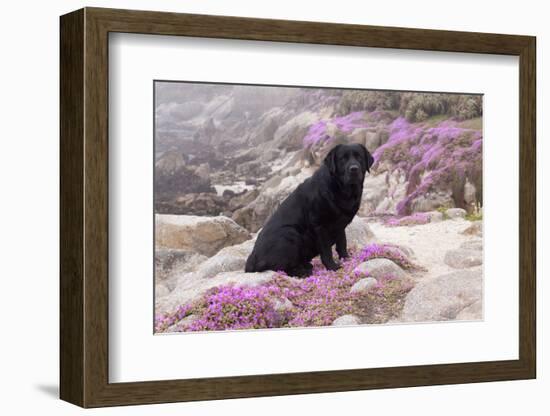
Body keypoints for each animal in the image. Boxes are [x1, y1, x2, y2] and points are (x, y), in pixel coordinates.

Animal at [246, 145, 376, 278]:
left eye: (359, 157)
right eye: (342, 159)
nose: (354, 169)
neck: (342, 189)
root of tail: (251, 260)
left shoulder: (340, 225)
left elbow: (342, 243)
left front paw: (347, 259)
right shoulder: (320, 226)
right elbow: (326, 251)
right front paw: (333, 267)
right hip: (290, 233)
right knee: (282, 268)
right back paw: (303, 271)